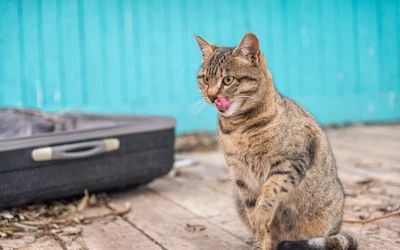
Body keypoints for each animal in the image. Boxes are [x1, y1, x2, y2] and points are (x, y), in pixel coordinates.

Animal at [195, 31, 358, 250]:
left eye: (227, 80)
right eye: (205, 79)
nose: (211, 96)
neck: (238, 128)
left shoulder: (290, 163)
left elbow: (269, 191)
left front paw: (262, 214)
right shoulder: (241, 176)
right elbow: (255, 214)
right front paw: (260, 241)